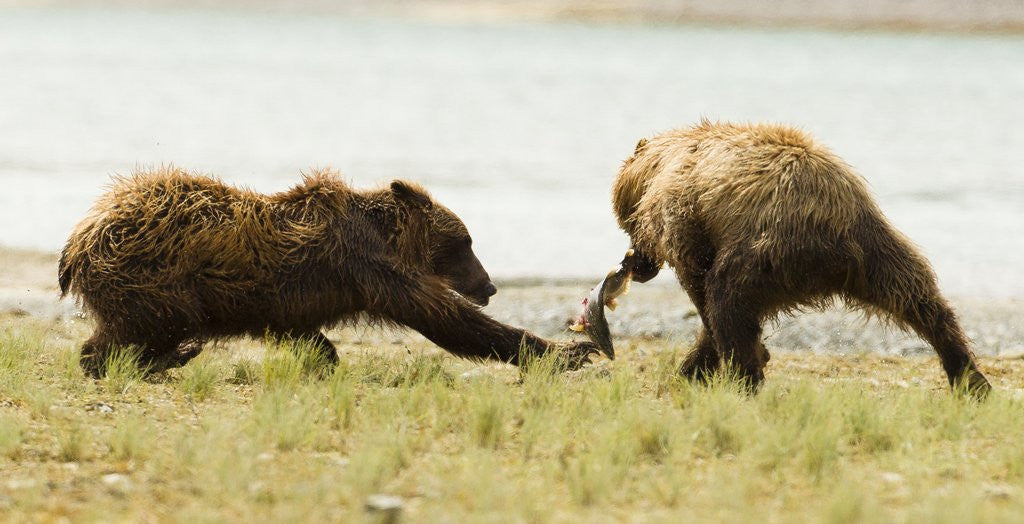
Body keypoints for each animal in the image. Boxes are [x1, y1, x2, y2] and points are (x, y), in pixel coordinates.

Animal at [59, 166, 597, 377]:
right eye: (464, 243)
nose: (489, 284)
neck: (389, 236)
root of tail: (80, 236)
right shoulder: (368, 267)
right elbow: (445, 317)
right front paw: (569, 351)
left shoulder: (297, 297)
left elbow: (303, 331)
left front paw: (324, 357)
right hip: (154, 276)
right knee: (150, 324)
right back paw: (160, 356)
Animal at [611, 120, 990, 395]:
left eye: (626, 222)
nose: (634, 264)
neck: (657, 166)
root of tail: (835, 245)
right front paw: (698, 366)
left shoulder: (684, 209)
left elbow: (697, 275)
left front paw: (717, 361)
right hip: (878, 248)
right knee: (921, 298)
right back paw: (970, 378)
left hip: (764, 249)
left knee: (726, 297)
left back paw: (745, 378)